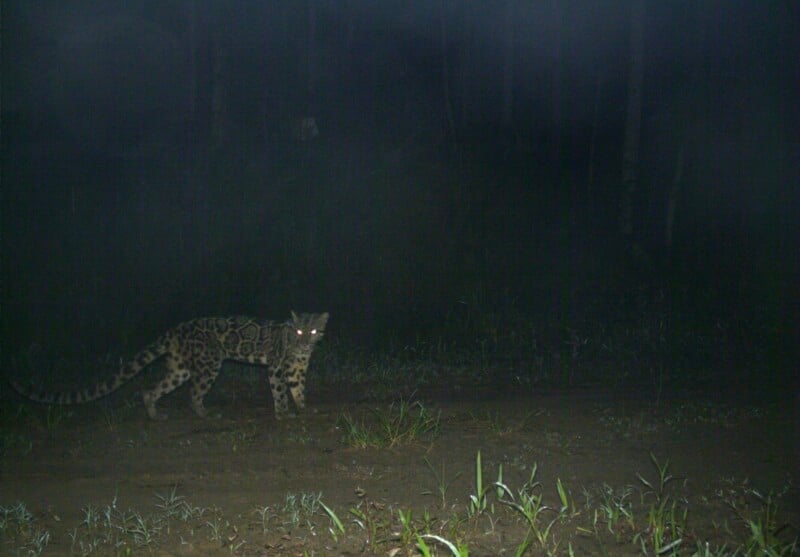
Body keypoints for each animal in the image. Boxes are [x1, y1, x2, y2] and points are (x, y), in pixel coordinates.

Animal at [10, 311, 329, 420]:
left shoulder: (297, 370)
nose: (305, 342)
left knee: (151, 389)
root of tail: (176, 329)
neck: (300, 351)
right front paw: (284, 413)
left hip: (180, 368)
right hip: (209, 364)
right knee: (193, 393)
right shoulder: (276, 366)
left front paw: (303, 408)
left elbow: (298, 389)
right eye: (299, 330)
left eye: (313, 331)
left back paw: (155, 415)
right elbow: (280, 391)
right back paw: (204, 413)